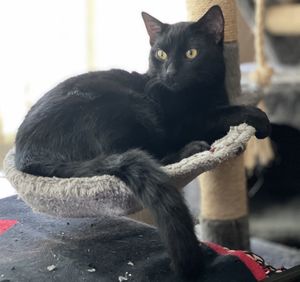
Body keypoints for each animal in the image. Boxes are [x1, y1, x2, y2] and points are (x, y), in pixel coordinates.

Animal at [15, 6, 270, 280]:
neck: (204, 92)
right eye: (161, 54)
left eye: (192, 53)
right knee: (147, 154)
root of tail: (27, 154)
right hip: (131, 108)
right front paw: (259, 118)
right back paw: (193, 149)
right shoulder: (185, 124)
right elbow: (222, 114)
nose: (170, 73)